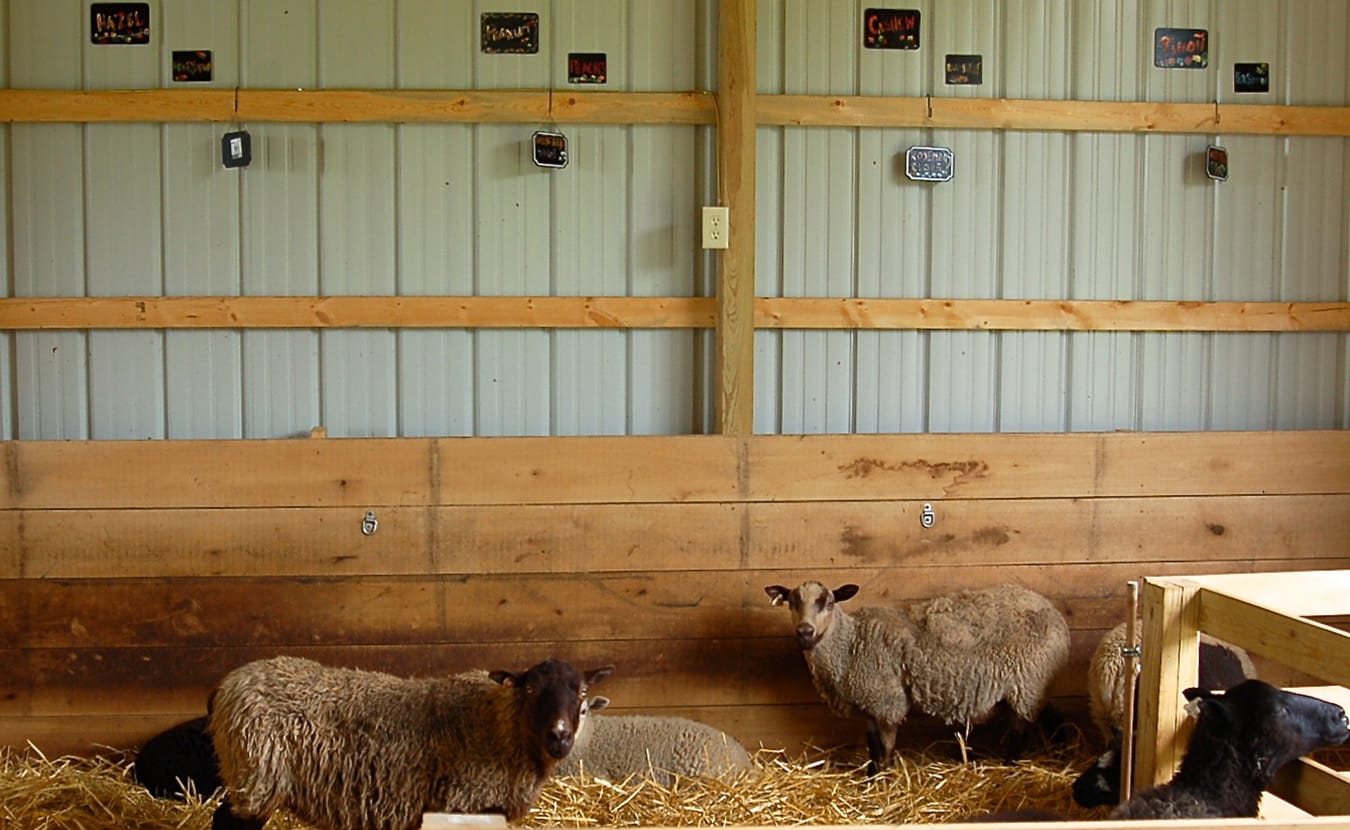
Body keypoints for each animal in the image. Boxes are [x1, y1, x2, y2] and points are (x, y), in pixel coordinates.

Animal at [208, 655, 613, 830]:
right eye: (530, 690)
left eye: (582, 693)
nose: (559, 736)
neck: (501, 723)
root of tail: (229, 682)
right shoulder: (465, 802)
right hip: (257, 774)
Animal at [763, 581, 1069, 775]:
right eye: (791, 602)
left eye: (827, 602)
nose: (805, 632)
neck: (850, 644)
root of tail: (1057, 617)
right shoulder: (870, 704)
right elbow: (873, 748)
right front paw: (870, 781)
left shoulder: (887, 702)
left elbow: (885, 750)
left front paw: (883, 782)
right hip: (1030, 687)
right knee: (1048, 718)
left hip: (1028, 681)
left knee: (1021, 729)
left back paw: (1010, 765)